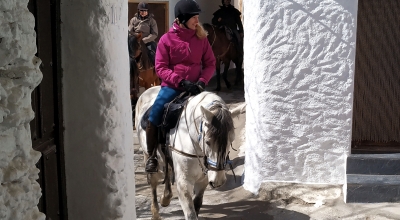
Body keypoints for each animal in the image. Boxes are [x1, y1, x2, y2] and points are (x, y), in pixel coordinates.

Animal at [135, 86, 244, 220]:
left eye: (231, 140)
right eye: (207, 142)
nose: (218, 181)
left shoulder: (203, 180)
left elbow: (197, 204)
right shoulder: (184, 183)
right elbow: (191, 213)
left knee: (167, 170)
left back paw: (166, 197)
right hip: (147, 156)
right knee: (153, 182)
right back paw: (155, 213)